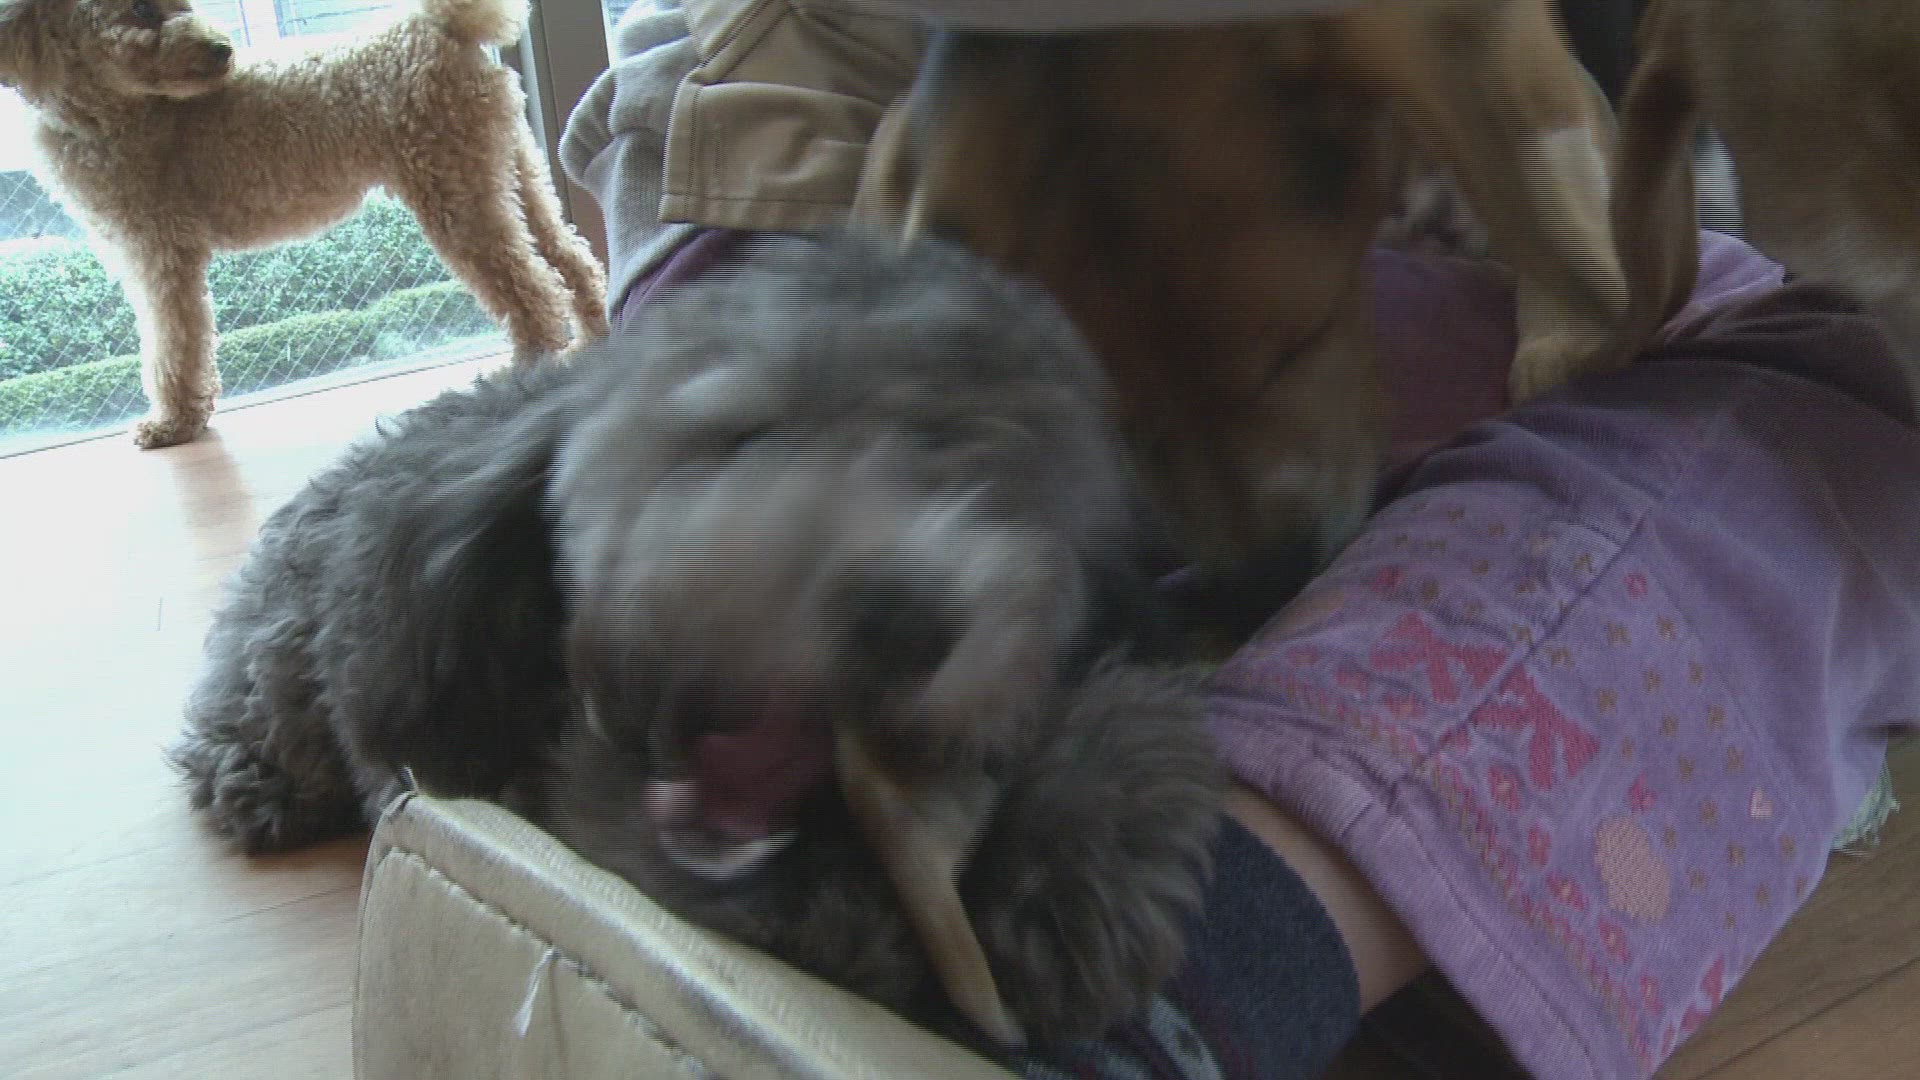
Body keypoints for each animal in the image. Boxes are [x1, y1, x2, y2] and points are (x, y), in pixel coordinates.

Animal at [0, 0, 608, 448]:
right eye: (143, 11)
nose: (223, 50)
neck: (120, 109)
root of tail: (436, 29)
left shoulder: (160, 255)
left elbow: (172, 344)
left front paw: (173, 423)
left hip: (454, 194)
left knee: (532, 294)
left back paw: (522, 375)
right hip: (510, 170)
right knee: (571, 259)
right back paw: (594, 337)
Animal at [168, 232, 1223, 1049]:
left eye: (1005, 489)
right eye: (741, 435)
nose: (911, 617)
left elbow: (1123, 726)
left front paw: (1078, 867)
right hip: (286, 643)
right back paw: (251, 776)